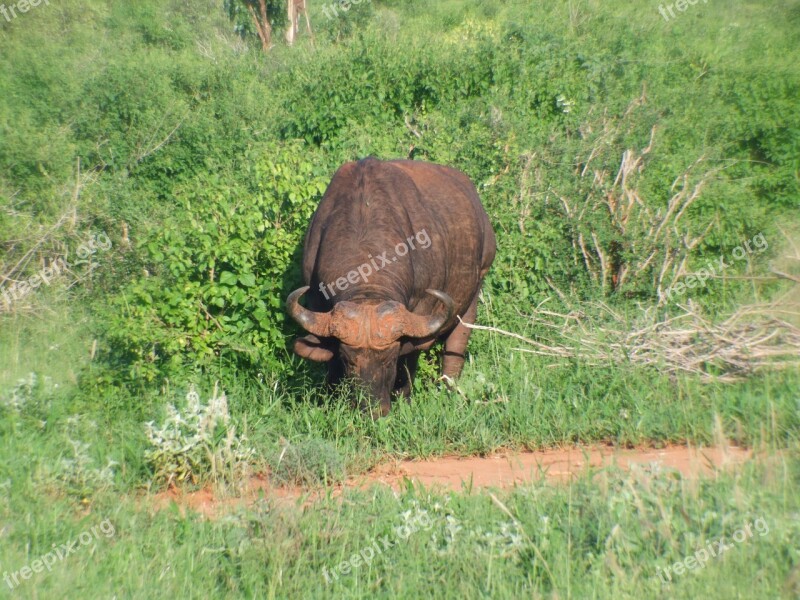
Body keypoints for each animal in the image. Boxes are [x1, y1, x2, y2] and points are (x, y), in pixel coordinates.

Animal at [288, 157, 494, 414]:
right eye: (349, 360)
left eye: (389, 359)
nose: (372, 409)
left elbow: (409, 363)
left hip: (474, 292)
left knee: (456, 347)